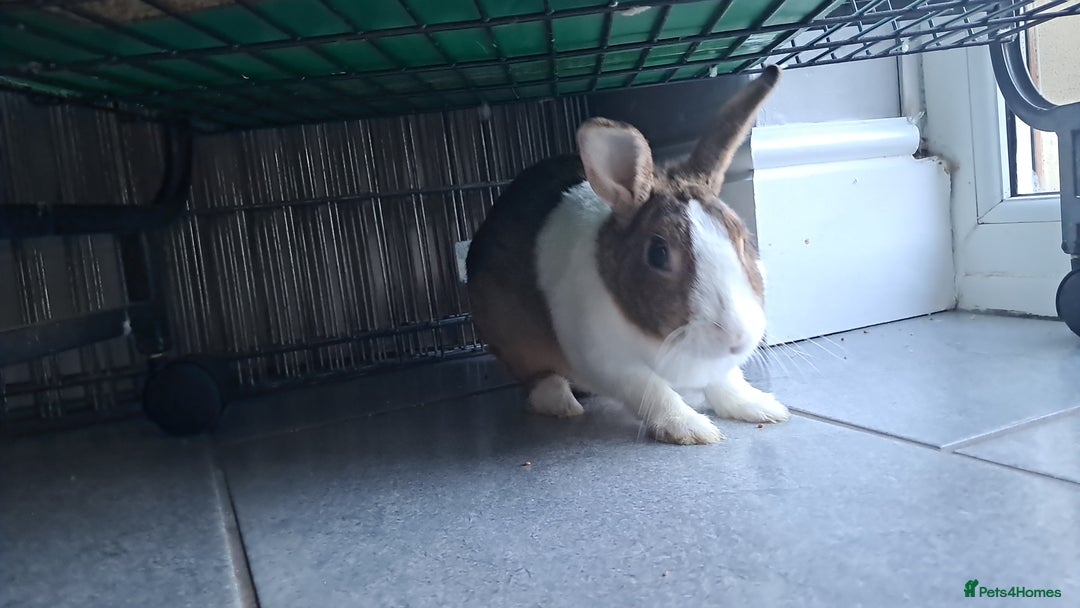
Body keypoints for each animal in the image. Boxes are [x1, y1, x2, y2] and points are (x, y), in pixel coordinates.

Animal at [465, 65, 789, 445]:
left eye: (742, 237)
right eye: (658, 254)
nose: (737, 337)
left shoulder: (718, 368)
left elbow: (726, 382)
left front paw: (762, 407)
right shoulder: (613, 363)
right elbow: (653, 391)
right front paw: (691, 429)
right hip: (512, 337)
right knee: (537, 379)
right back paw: (560, 401)